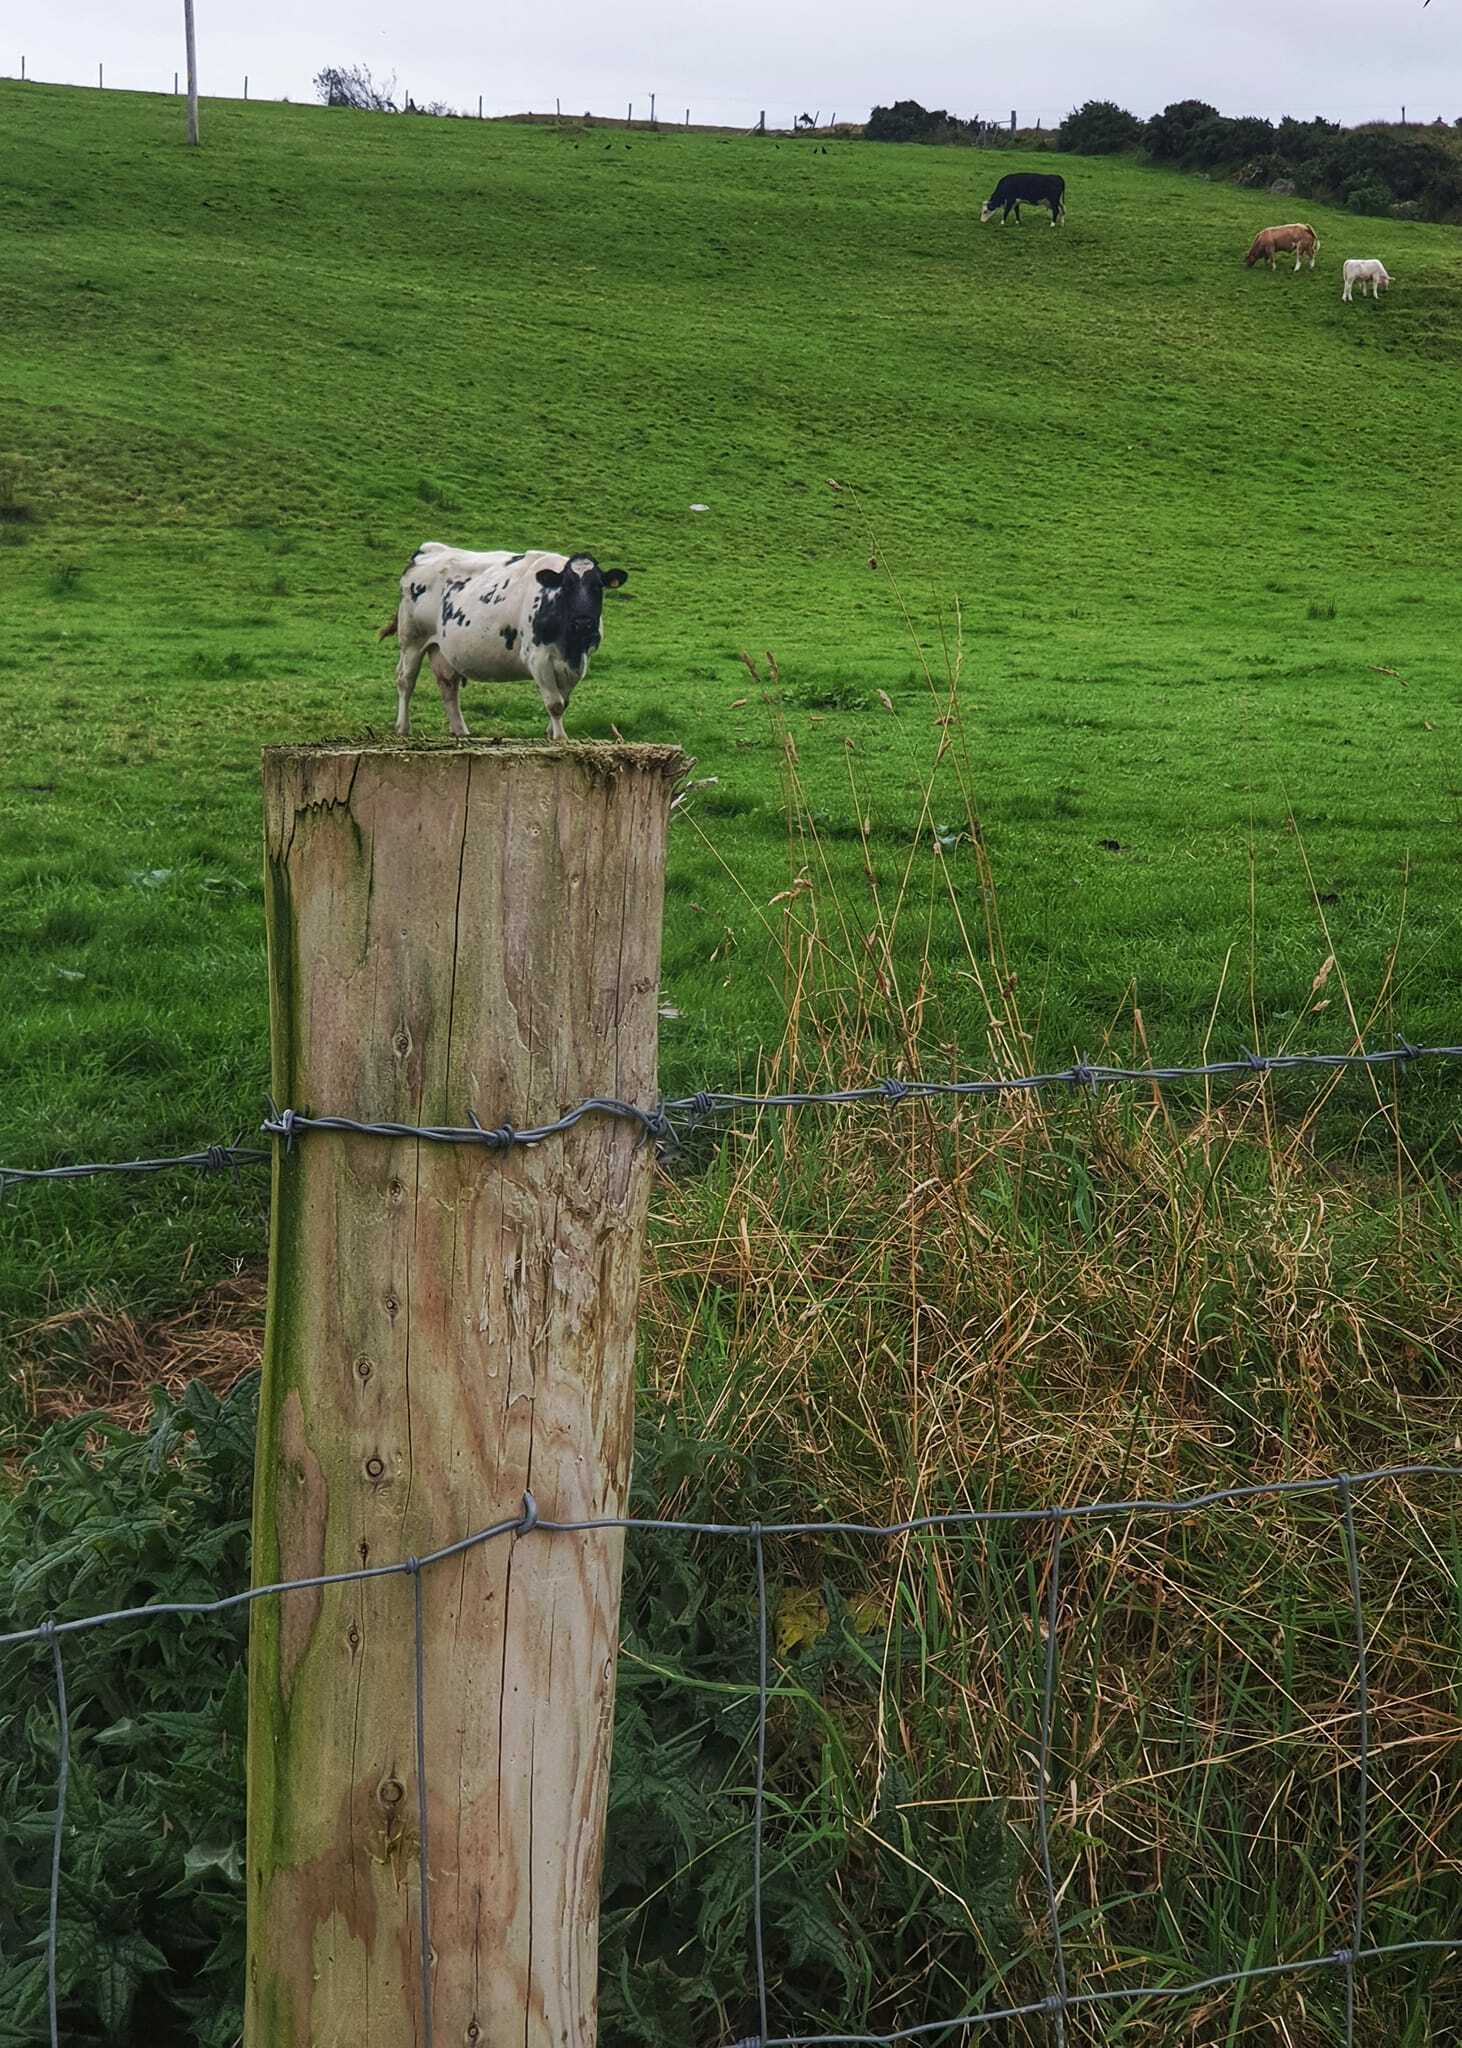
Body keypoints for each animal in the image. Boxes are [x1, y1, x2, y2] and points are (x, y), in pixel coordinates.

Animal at [378, 544, 622, 737]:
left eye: (598, 586)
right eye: (567, 586)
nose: (584, 622)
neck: (570, 644)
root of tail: (429, 550)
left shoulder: (579, 660)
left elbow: (565, 701)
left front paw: (550, 733)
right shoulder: (537, 657)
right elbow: (555, 704)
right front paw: (561, 738)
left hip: (441, 648)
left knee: (448, 686)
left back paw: (460, 730)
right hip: (412, 639)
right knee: (405, 680)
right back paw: (403, 728)